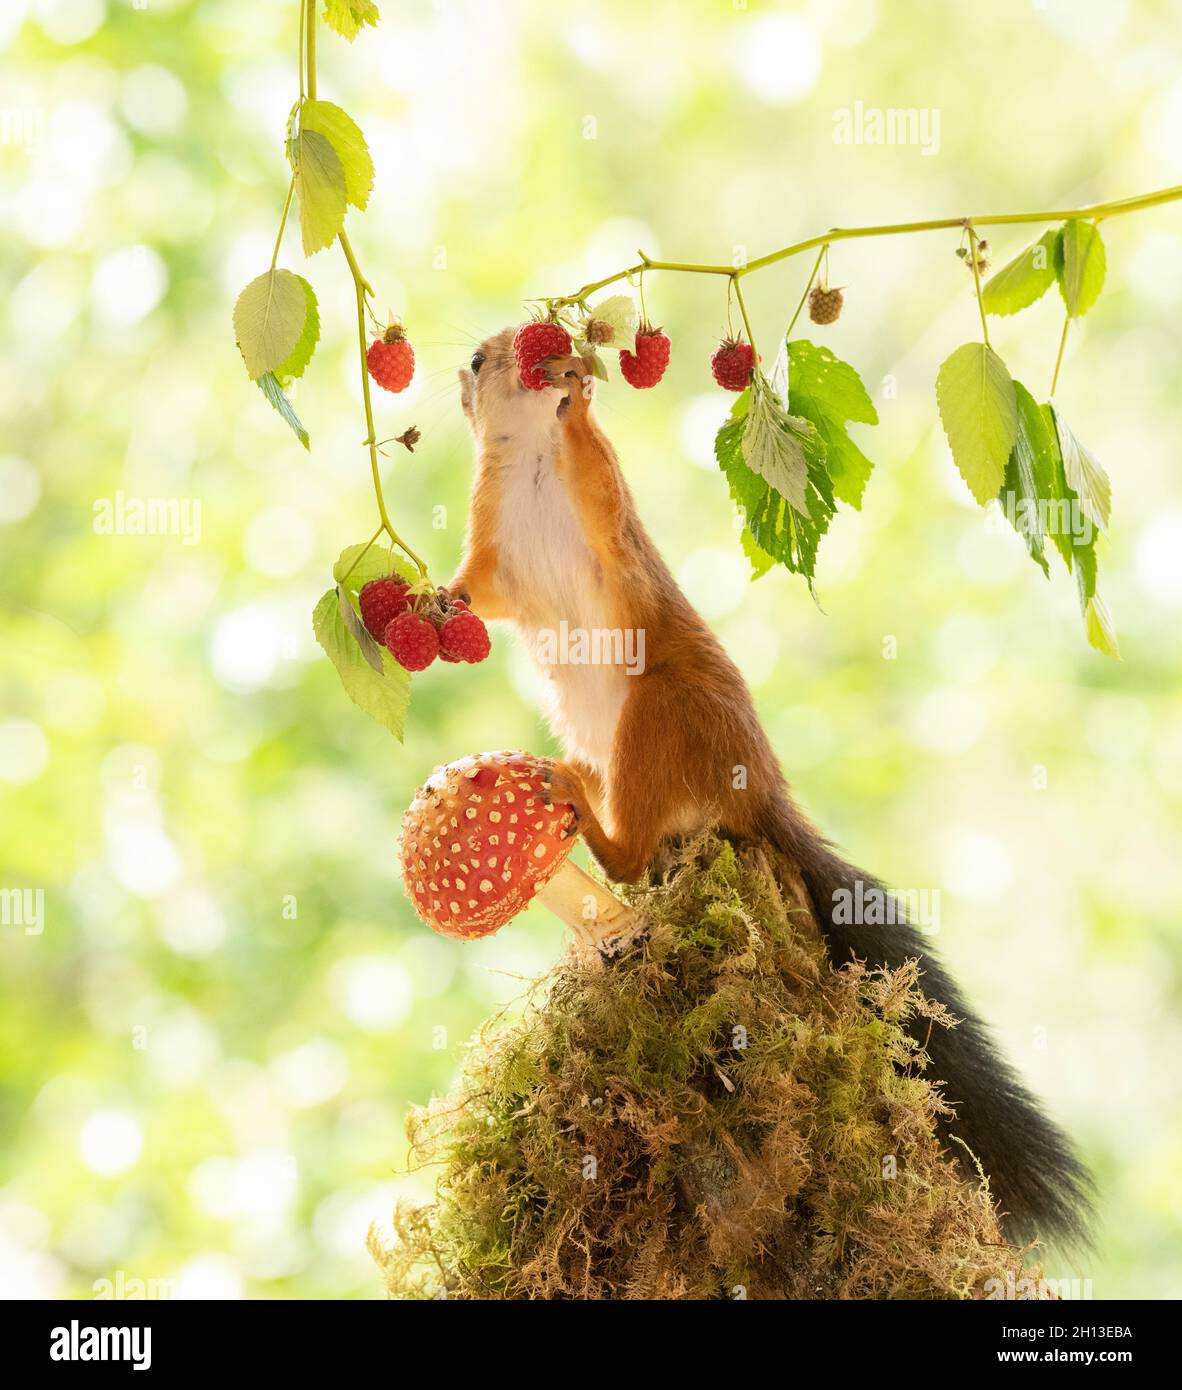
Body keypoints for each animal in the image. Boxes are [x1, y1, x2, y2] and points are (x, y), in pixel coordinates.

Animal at [449, 326, 1093, 1248]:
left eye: (507, 347)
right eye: (474, 362)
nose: (514, 354)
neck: (532, 456)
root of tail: (756, 790)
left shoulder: (607, 509)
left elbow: (599, 477)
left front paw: (578, 385)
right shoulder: (490, 547)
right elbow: (473, 591)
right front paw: (413, 610)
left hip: (661, 717)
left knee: (626, 854)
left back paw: (572, 796)